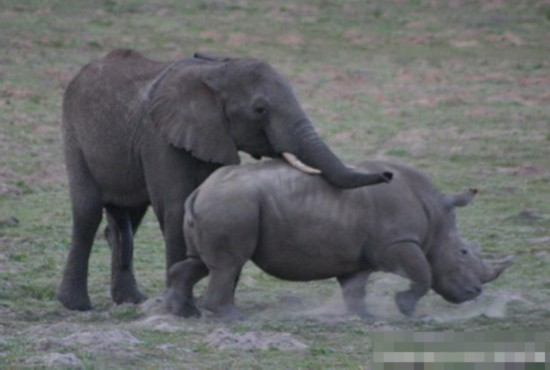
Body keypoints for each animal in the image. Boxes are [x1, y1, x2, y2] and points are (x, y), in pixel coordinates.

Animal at [56, 47, 394, 310]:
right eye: (260, 110)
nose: (388, 173)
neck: (215, 72)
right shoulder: (158, 136)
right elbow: (175, 209)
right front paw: (181, 306)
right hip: (73, 133)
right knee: (87, 212)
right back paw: (76, 305)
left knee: (126, 218)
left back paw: (131, 300)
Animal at [163, 160, 512, 320]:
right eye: (464, 252)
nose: (475, 293)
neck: (436, 215)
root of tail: (200, 190)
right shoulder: (399, 242)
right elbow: (423, 274)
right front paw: (406, 309)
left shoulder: (361, 255)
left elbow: (355, 285)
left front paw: (365, 316)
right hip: (233, 205)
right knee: (228, 264)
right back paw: (232, 317)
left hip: (220, 204)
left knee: (202, 263)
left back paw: (184, 312)